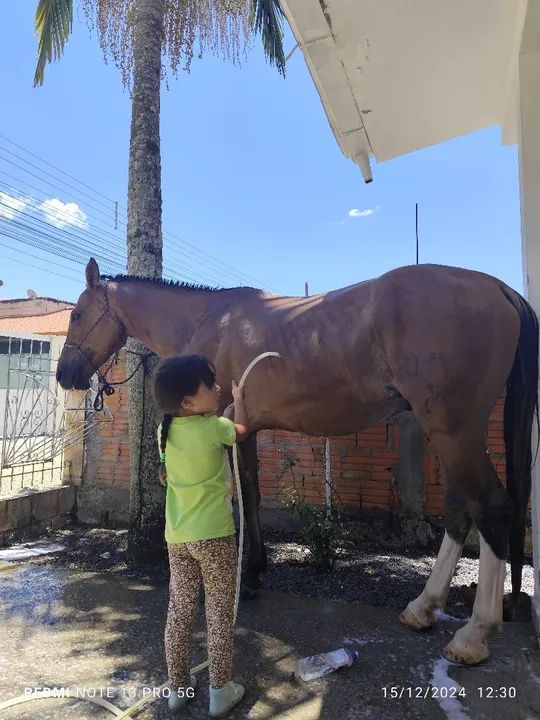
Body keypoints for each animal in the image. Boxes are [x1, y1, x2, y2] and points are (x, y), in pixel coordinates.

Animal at [57, 257, 538, 666]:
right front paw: (255, 573)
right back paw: (423, 607)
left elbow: (235, 500)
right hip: (450, 432)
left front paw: (241, 578)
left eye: (76, 314)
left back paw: (474, 634)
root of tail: (497, 287)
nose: (65, 375)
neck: (209, 320)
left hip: (454, 430)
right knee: (460, 512)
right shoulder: (244, 430)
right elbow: (251, 493)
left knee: (491, 507)